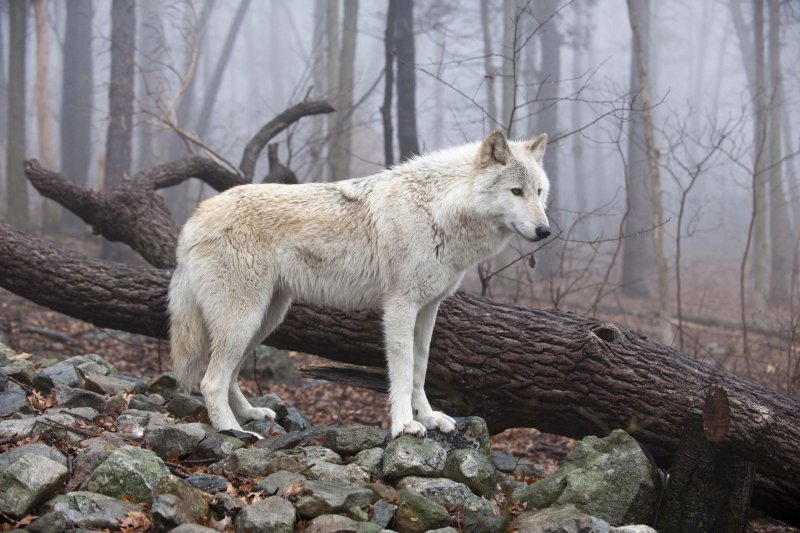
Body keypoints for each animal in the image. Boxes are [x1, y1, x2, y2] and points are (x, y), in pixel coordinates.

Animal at [169, 128, 552, 436]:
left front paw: (428, 418)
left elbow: (420, 368)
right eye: (516, 192)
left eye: (539, 191)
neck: (439, 210)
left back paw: (250, 414)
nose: (545, 231)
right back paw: (232, 431)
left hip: (264, 320)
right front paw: (405, 425)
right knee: (211, 381)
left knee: (230, 376)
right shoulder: (399, 307)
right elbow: (402, 371)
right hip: (243, 319)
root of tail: (194, 217)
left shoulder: (429, 309)